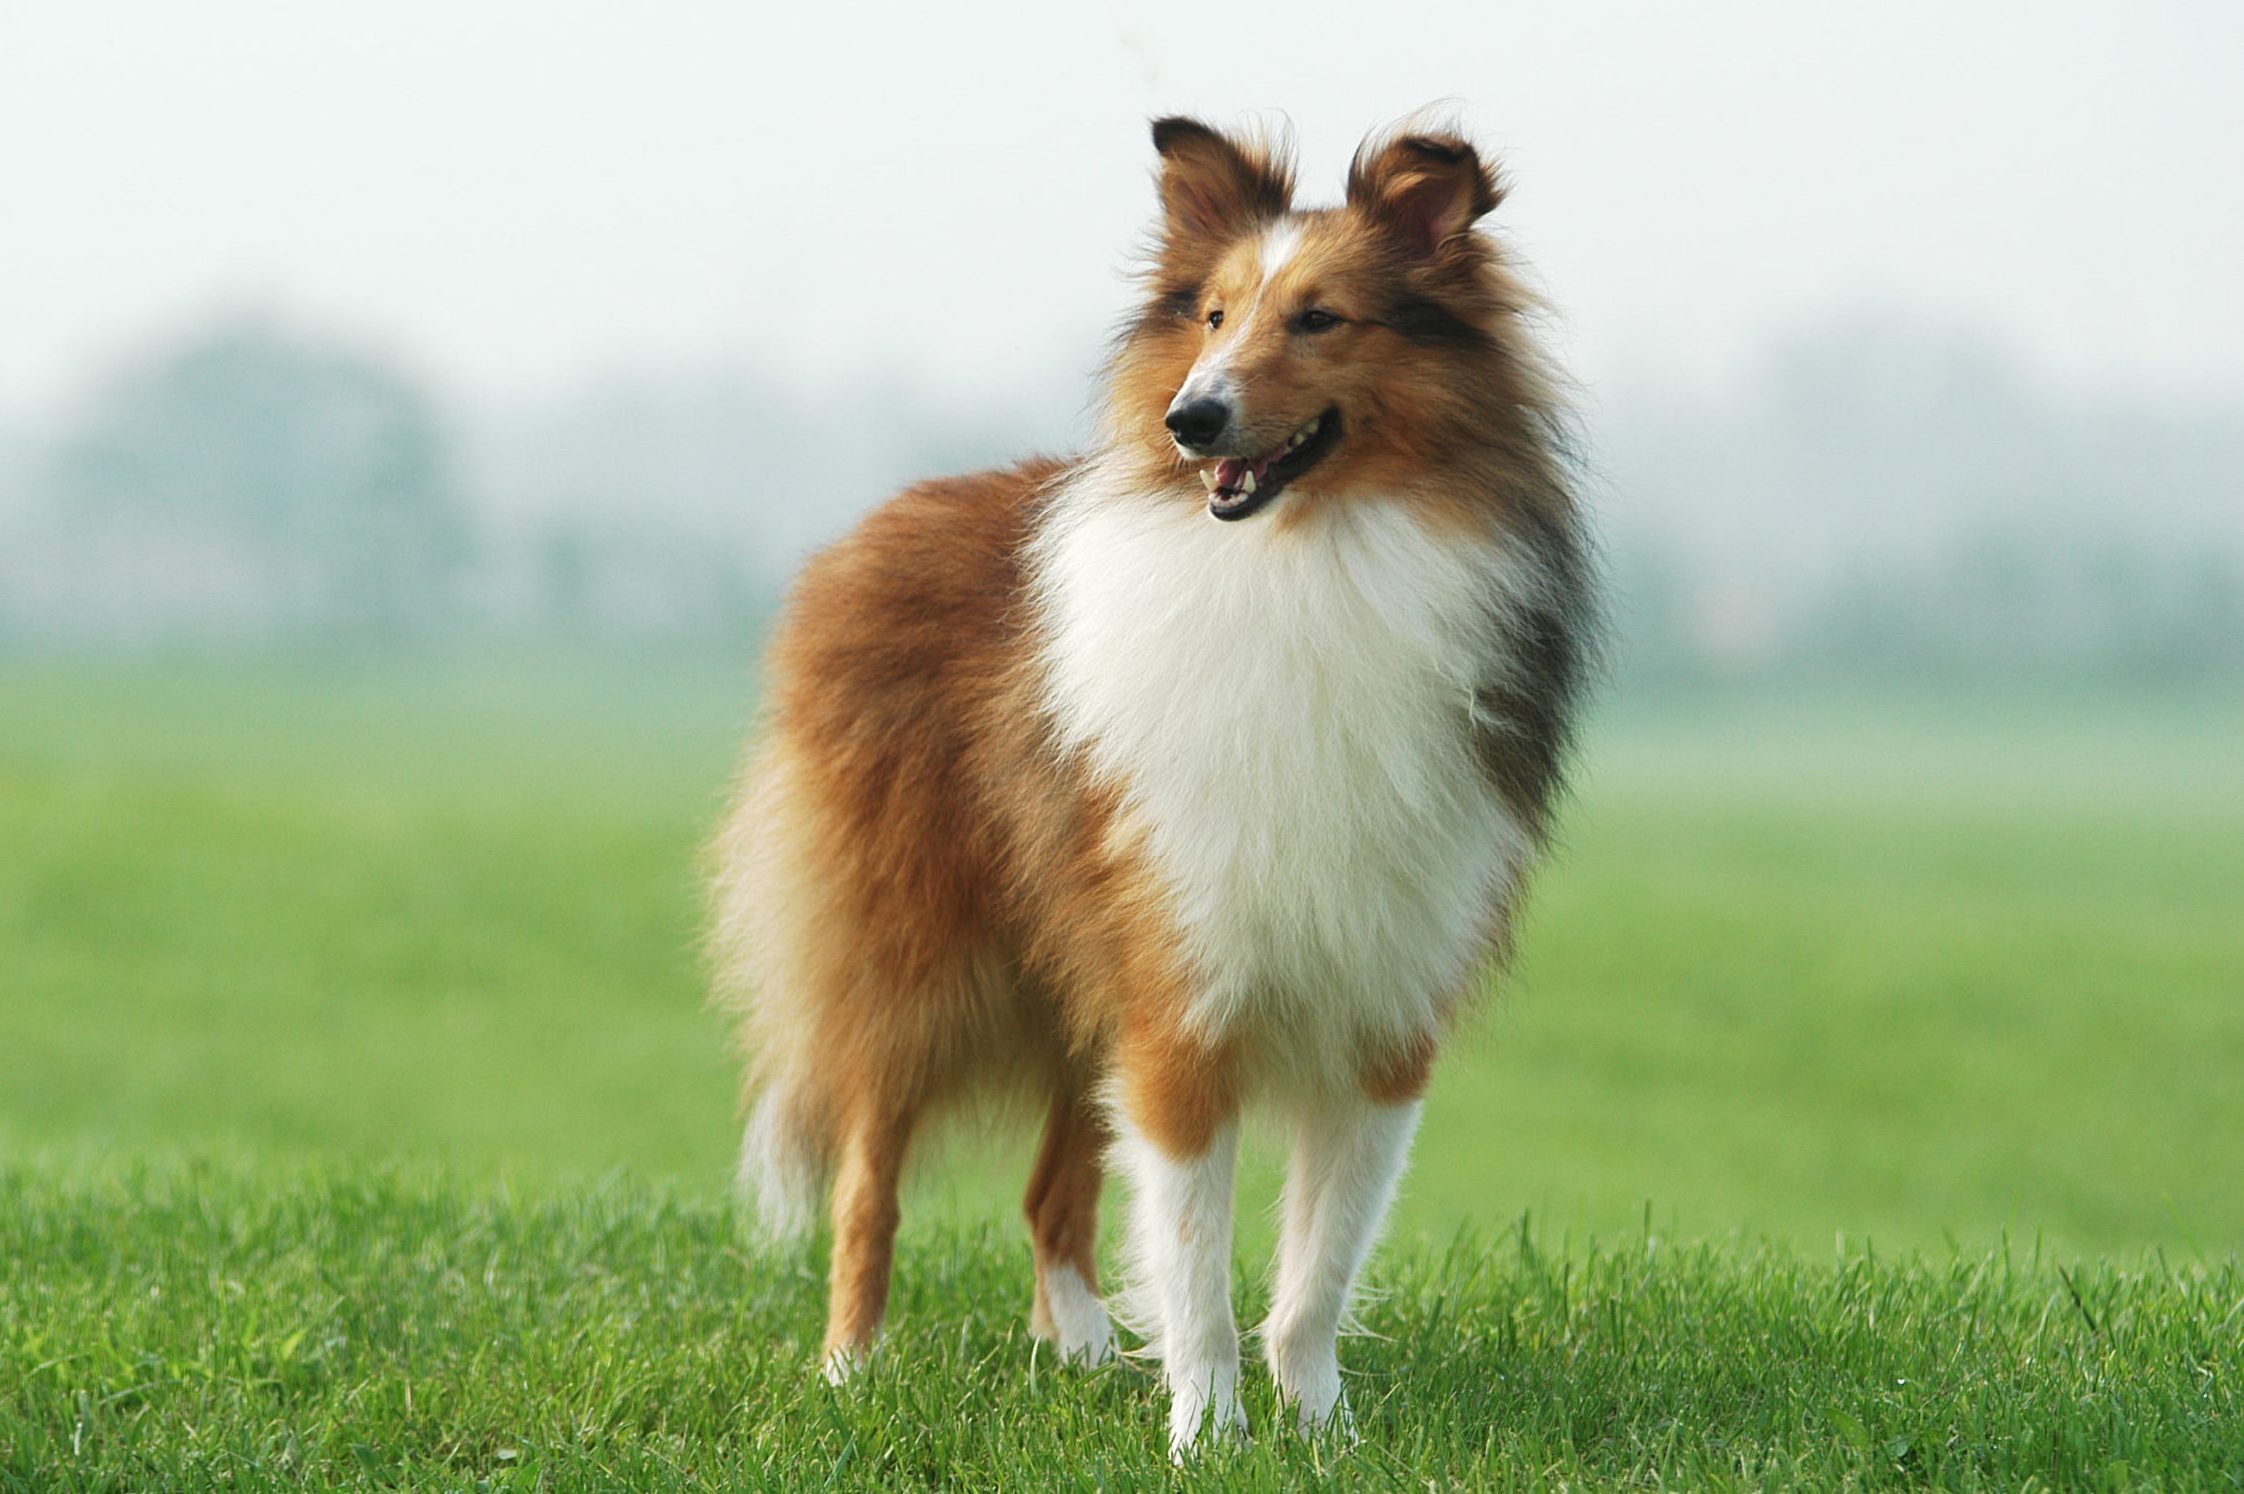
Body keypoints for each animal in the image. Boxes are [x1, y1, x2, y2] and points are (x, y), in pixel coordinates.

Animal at [709, 110, 1588, 1444]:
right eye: (1214, 316)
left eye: (1321, 318)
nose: (1192, 420)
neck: (1307, 562)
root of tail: (877, 523)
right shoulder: (1182, 990)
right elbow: (1194, 1254)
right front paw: (1209, 1433)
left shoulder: (1383, 1010)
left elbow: (1319, 1267)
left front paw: (1319, 1429)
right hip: (916, 958)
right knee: (868, 1180)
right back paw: (850, 1369)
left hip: (1076, 958)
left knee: (1049, 1192)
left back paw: (1075, 1344)